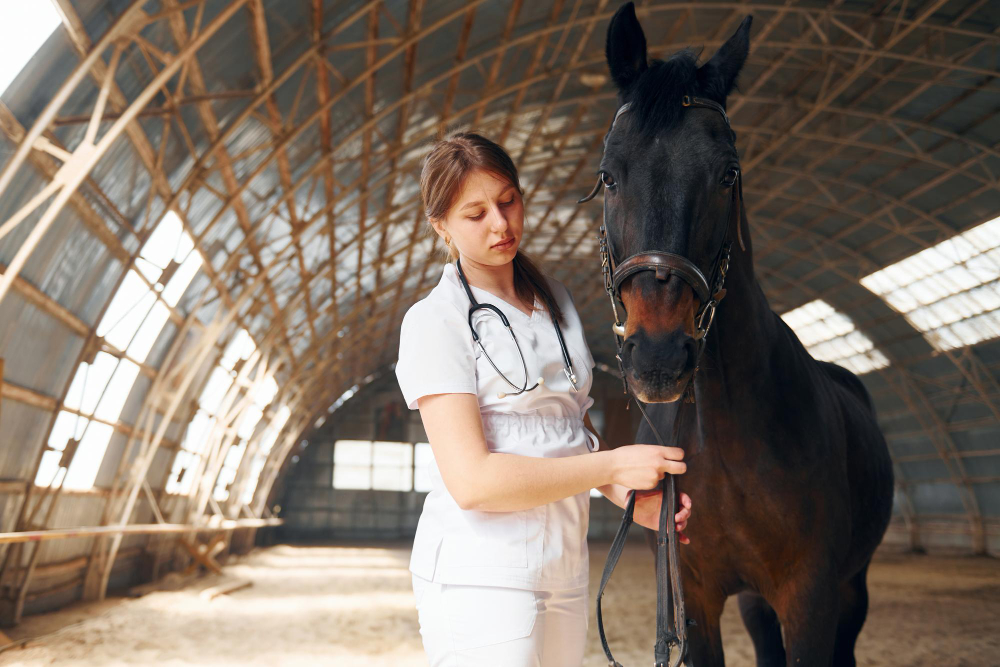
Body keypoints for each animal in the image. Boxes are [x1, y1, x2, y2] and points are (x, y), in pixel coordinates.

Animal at [592, 2, 900, 664]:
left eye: (728, 174)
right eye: (608, 177)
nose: (658, 355)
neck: (728, 434)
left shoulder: (811, 597)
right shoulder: (697, 599)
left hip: (851, 588)